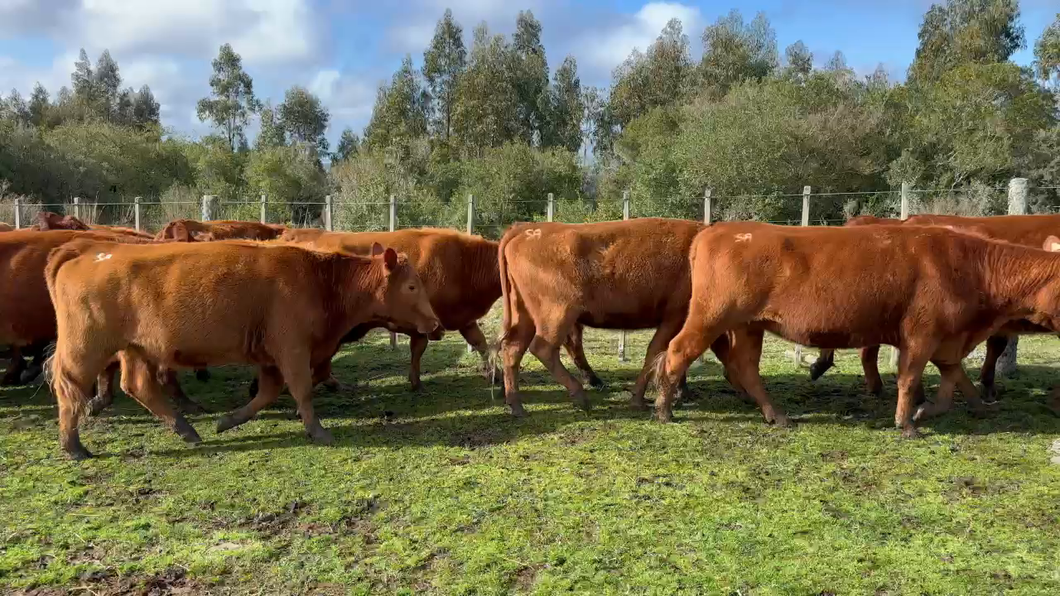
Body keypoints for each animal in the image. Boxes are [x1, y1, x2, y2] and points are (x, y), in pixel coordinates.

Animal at [45, 237, 440, 460]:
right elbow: (301, 390)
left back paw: (186, 429)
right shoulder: (292, 350)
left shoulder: (269, 358)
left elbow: (267, 393)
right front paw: (318, 431)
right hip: (86, 349)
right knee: (70, 390)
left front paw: (228, 420)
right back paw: (73, 446)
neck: (322, 280)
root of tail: (87, 252)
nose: (435, 324)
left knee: (138, 386)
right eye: (411, 287)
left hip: (136, 349)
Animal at [498, 215, 712, 415]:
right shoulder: (674, 317)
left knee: (513, 349)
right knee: (544, 348)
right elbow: (657, 351)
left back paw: (517, 406)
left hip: (525, 316)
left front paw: (682, 392)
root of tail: (526, 229)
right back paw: (581, 397)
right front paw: (640, 400)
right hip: (558, 315)